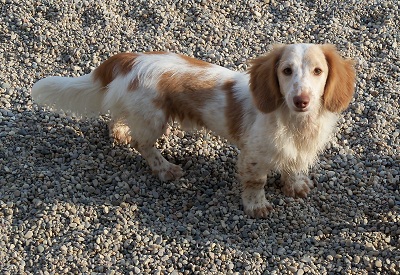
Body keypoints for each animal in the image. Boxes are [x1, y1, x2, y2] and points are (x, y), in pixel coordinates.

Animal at [32, 44, 356, 219]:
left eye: (318, 71)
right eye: (286, 71)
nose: (301, 100)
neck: (294, 121)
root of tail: (131, 58)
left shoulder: (296, 150)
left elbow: (293, 168)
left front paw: (295, 185)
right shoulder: (253, 155)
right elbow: (256, 182)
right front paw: (257, 206)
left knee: (116, 117)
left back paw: (119, 133)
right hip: (154, 118)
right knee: (144, 145)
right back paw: (165, 169)